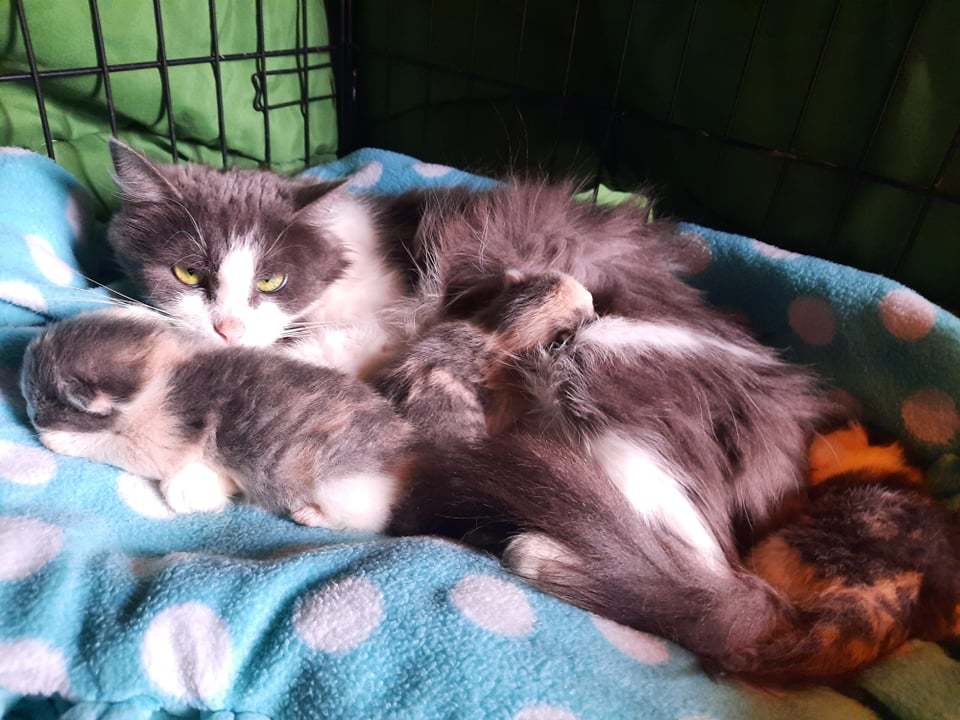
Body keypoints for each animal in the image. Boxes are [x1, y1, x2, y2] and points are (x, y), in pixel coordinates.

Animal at [20, 306, 412, 524]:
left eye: (38, 398)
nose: (28, 411)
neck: (162, 370)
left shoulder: (162, 439)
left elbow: (110, 445)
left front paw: (58, 438)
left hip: (344, 488)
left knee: (365, 521)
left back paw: (311, 515)